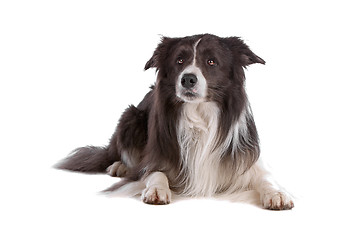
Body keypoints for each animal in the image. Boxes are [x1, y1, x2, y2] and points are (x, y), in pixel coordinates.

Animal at [55, 33, 292, 210]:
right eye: (179, 61)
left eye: (211, 61)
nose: (187, 79)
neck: (199, 115)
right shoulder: (155, 155)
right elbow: (155, 172)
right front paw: (157, 190)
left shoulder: (245, 156)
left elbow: (266, 177)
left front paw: (278, 193)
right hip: (130, 118)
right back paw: (119, 166)